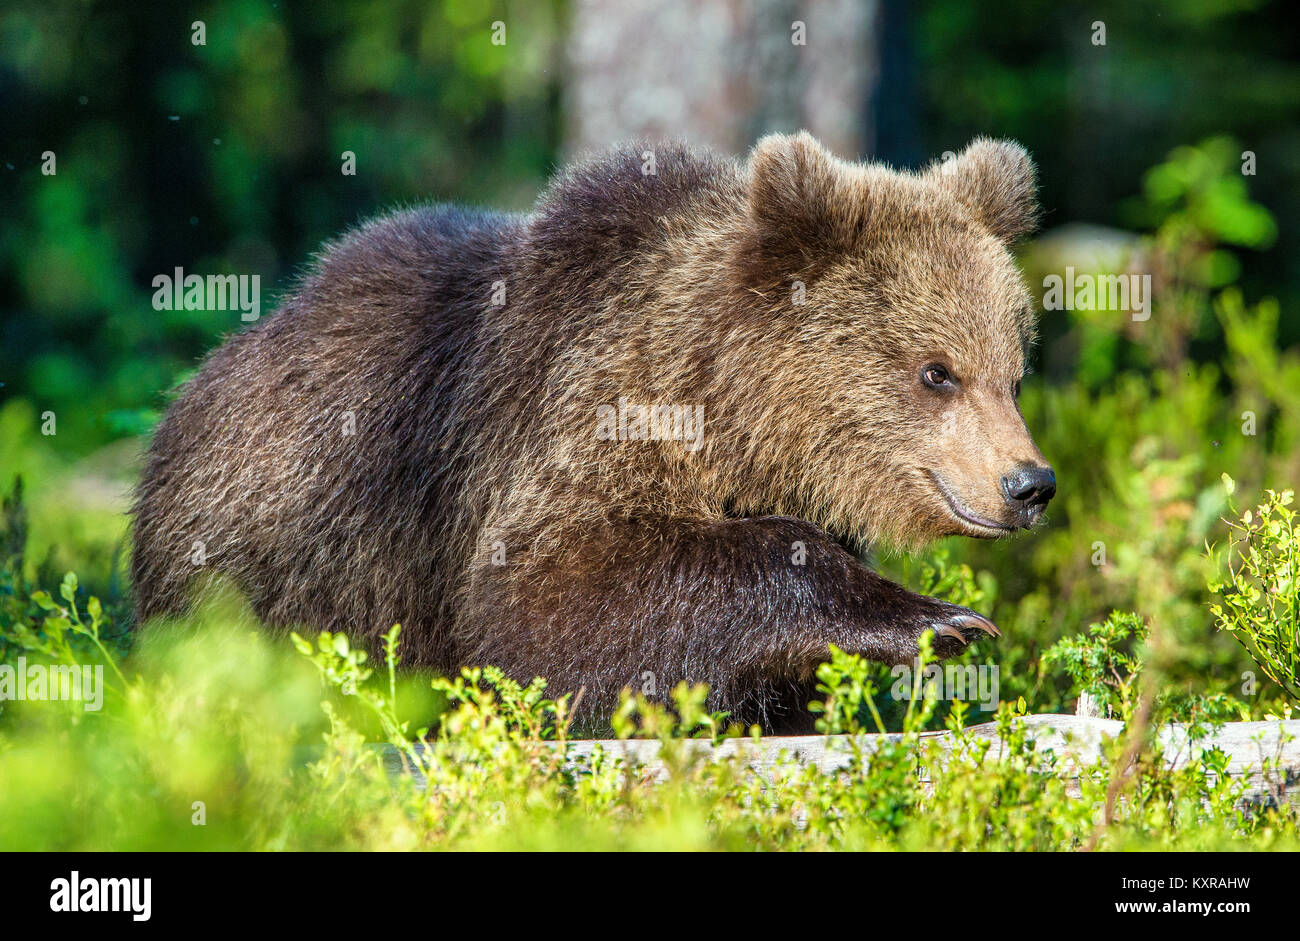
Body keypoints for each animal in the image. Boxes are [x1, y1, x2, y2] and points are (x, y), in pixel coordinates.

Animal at [131, 132, 1055, 732]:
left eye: (1014, 370)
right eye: (937, 371)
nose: (1029, 483)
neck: (734, 421)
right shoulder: (568, 423)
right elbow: (555, 601)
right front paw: (938, 620)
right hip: (279, 550)